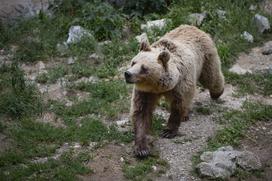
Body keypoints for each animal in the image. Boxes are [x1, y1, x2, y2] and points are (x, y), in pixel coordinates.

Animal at [124, 24, 224, 158]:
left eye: (144, 68)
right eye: (133, 62)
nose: (127, 74)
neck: (158, 86)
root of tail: (193, 27)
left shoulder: (180, 84)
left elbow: (178, 104)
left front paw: (168, 131)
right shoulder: (145, 92)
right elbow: (141, 112)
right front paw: (141, 148)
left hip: (206, 56)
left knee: (211, 77)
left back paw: (217, 93)